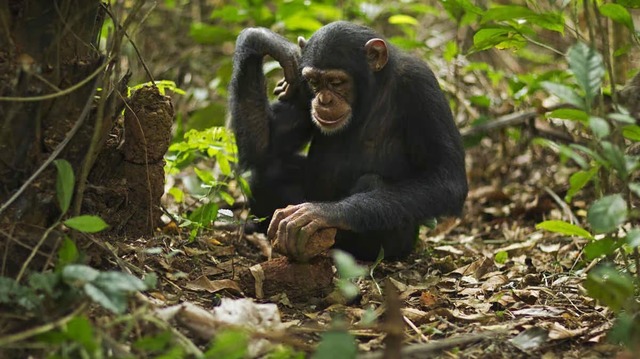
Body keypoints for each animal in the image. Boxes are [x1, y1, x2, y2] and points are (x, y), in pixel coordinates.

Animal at [228, 21, 468, 262]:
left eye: (336, 82)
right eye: (314, 82)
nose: (324, 100)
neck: (372, 92)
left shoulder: (421, 86)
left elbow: (446, 179)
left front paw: (324, 213)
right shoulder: (300, 85)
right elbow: (265, 148)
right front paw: (266, 40)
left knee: (371, 182)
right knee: (266, 170)